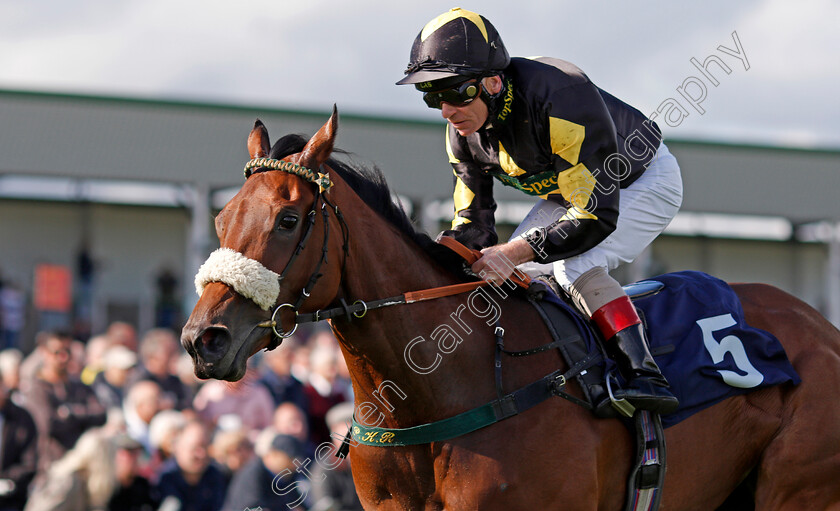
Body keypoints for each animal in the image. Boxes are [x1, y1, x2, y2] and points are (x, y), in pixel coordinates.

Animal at [182, 110, 840, 510]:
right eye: (220, 219)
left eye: (289, 218)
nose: (202, 339)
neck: (440, 388)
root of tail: (819, 325)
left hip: (797, 486)